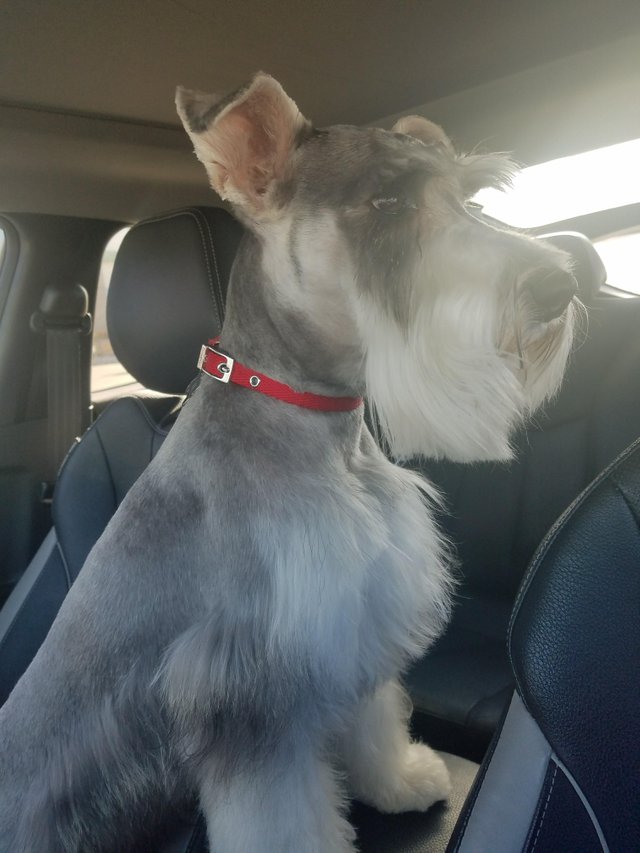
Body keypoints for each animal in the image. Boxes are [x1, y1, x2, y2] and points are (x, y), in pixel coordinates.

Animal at [0, 73, 576, 852]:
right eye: (386, 202)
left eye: (473, 201)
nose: (560, 282)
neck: (321, 424)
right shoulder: (252, 693)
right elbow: (281, 815)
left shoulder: (349, 624)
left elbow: (371, 718)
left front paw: (399, 779)